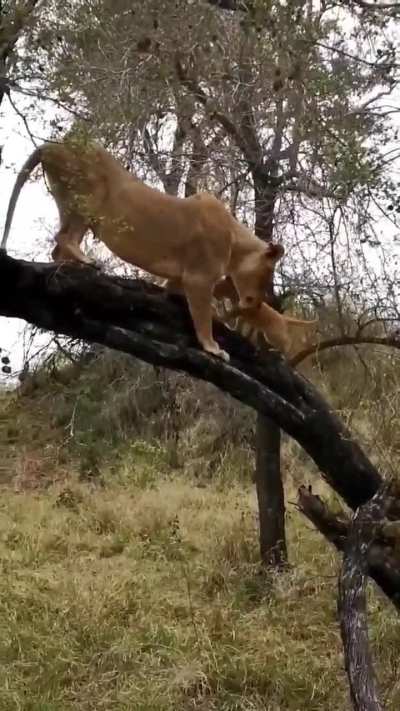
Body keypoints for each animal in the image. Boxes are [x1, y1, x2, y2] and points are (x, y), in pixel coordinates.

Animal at [1, 134, 284, 362]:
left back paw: (71, 267)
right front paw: (213, 347)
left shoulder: (179, 282)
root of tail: (54, 145)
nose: (254, 304)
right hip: (87, 198)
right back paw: (87, 261)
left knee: (57, 248)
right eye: (266, 274)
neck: (236, 244)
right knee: (63, 237)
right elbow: (203, 316)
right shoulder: (198, 278)